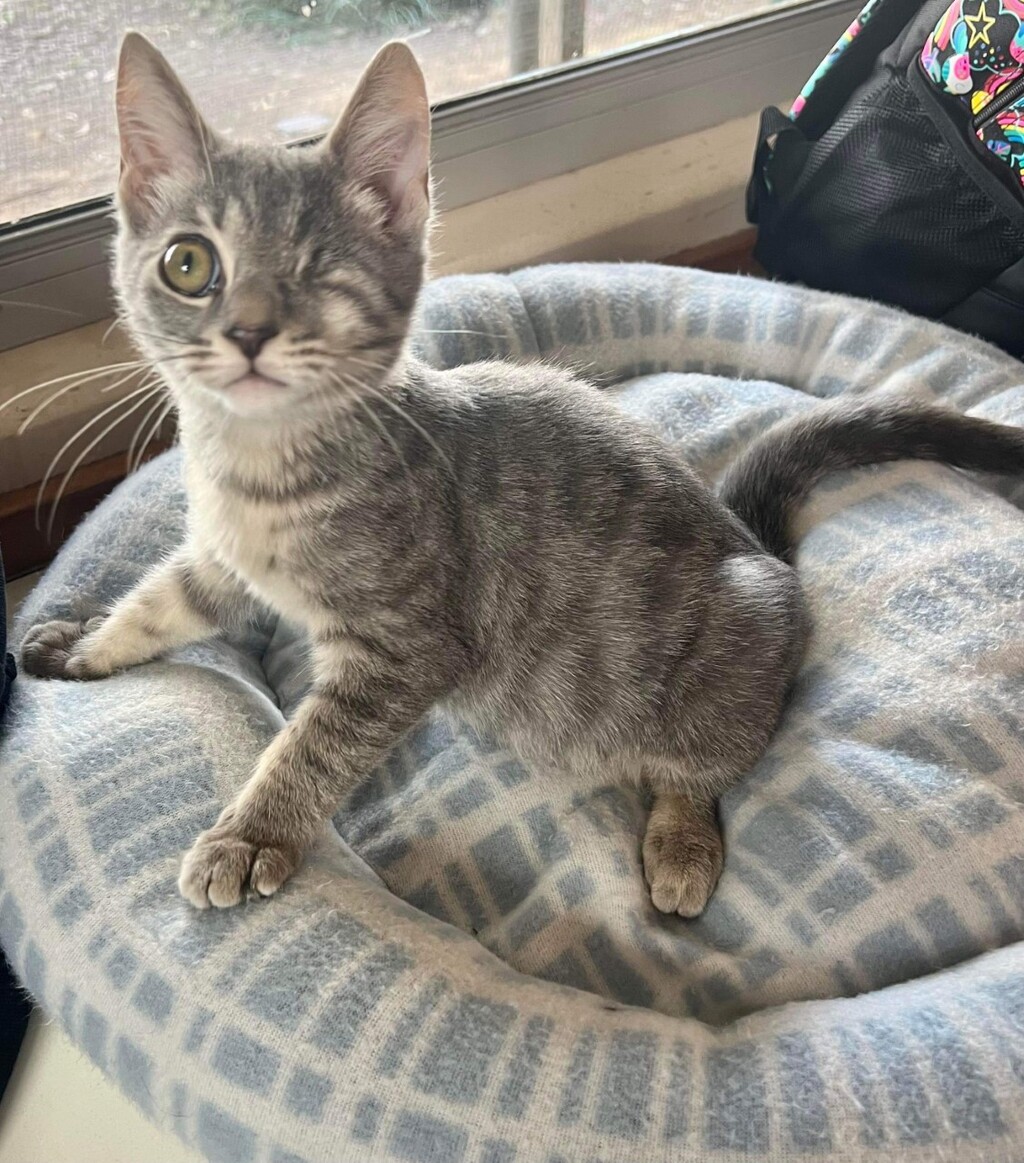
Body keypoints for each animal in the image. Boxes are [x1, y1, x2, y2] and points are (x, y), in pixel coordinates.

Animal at [20, 32, 1024, 917]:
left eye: (321, 271)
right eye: (189, 264)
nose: (249, 332)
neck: (259, 466)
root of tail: (756, 546)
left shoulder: (406, 648)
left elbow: (312, 744)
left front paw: (252, 832)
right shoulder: (221, 562)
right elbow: (160, 599)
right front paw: (89, 643)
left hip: (728, 647)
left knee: (708, 762)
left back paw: (682, 842)